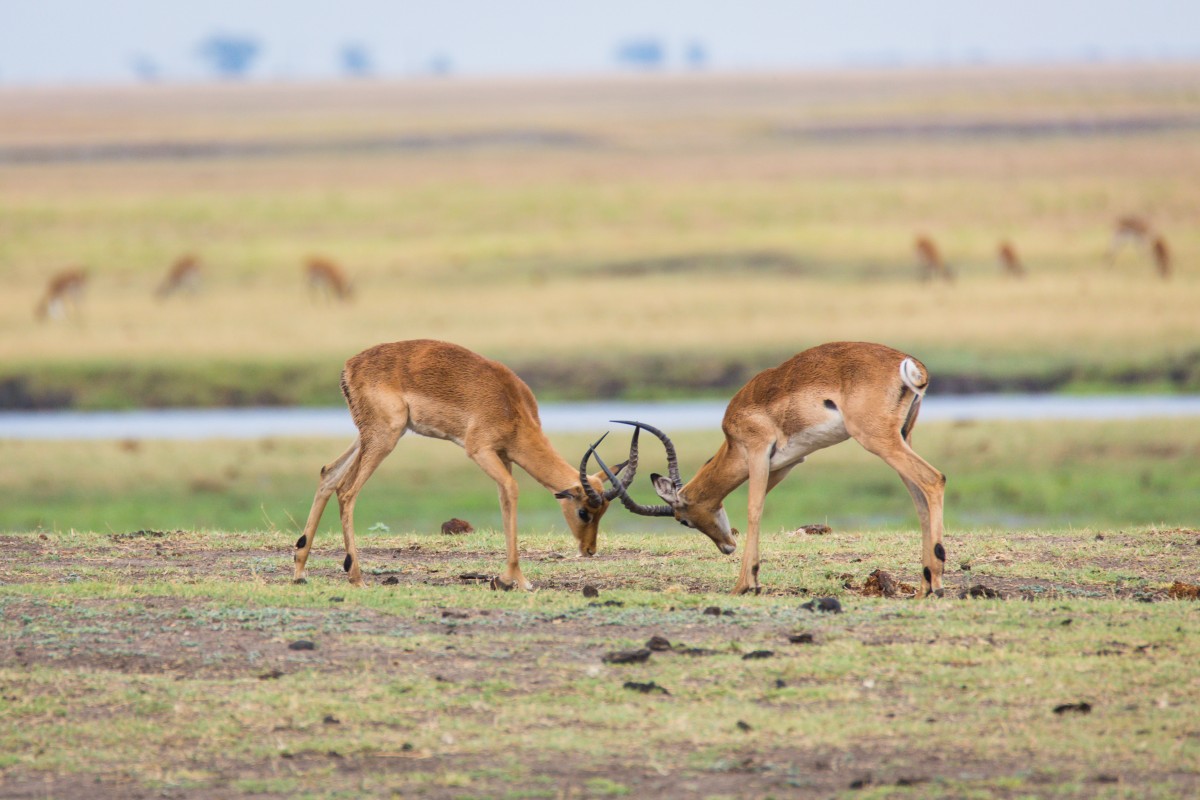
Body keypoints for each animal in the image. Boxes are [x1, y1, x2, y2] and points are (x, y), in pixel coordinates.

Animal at [295, 338, 633, 587]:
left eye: (603, 511)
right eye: (584, 512)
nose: (589, 550)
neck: (511, 406)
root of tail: (350, 366)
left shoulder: (504, 456)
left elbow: (504, 499)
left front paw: (511, 578)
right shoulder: (479, 450)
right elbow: (512, 490)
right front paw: (515, 579)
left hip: (370, 436)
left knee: (328, 474)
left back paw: (299, 569)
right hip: (384, 436)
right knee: (347, 491)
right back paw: (356, 577)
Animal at [588, 340, 945, 597]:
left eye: (683, 520)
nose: (726, 547)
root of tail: (909, 363)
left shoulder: (758, 452)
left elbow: (753, 509)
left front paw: (744, 585)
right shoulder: (785, 464)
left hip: (877, 439)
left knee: (934, 479)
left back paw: (938, 582)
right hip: (902, 436)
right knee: (919, 499)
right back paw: (924, 587)